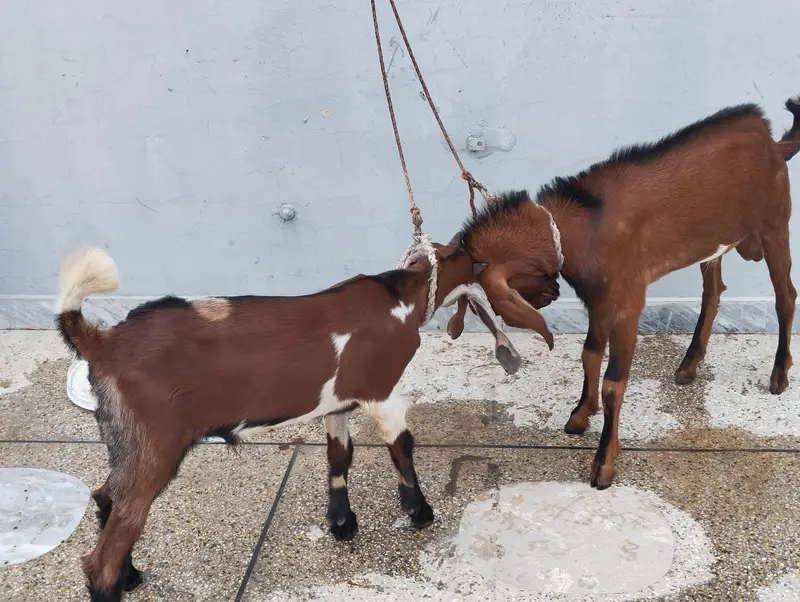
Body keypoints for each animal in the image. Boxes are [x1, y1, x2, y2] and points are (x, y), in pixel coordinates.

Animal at [55, 241, 504, 601]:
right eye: (476, 264)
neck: (401, 297)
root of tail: (101, 341)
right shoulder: (382, 393)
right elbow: (402, 449)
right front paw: (420, 512)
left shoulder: (337, 403)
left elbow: (340, 455)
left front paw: (342, 523)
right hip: (154, 441)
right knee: (105, 551)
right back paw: (114, 577)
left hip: (126, 437)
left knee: (107, 497)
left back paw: (130, 576)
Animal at [451, 95, 800, 490]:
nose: (549, 295)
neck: (582, 226)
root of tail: (774, 145)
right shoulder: (599, 301)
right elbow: (589, 354)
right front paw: (580, 415)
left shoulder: (626, 303)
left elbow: (613, 383)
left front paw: (603, 464)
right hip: (716, 244)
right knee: (713, 293)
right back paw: (688, 366)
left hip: (775, 226)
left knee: (786, 296)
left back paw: (779, 374)